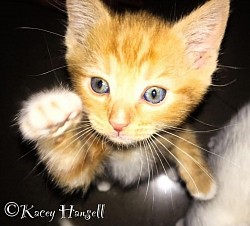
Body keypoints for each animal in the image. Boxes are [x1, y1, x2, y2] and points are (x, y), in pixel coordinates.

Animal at [18, 0, 230, 200]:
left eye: (154, 94)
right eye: (99, 85)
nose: (118, 124)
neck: (128, 151)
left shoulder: (176, 126)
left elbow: (185, 138)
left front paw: (201, 179)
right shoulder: (78, 169)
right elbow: (68, 166)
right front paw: (50, 113)